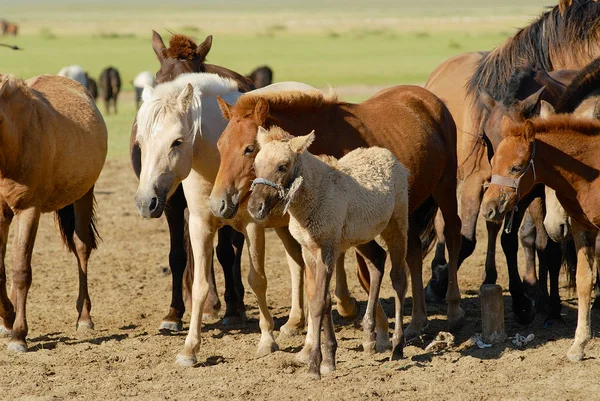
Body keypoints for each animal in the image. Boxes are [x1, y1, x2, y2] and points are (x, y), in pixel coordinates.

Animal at [0, 73, 106, 352]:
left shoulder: (28, 210)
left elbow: (21, 270)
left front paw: (18, 335)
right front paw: (8, 319)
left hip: (83, 194)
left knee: (81, 248)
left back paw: (84, 317)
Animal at [211, 84, 464, 344]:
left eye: (249, 149)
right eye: (220, 145)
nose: (218, 204)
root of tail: (428, 98)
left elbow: (362, 270)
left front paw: (370, 324)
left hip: (444, 187)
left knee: (453, 235)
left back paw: (454, 311)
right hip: (407, 210)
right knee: (412, 252)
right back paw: (417, 322)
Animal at [246, 126, 410, 376]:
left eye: (282, 166)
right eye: (255, 166)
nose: (255, 207)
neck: (313, 197)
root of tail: (390, 157)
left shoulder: (327, 249)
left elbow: (318, 303)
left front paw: (316, 363)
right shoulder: (309, 251)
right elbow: (321, 300)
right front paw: (327, 359)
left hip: (397, 225)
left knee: (399, 277)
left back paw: (398, 346)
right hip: (361, 235)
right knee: (377, 260)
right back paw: (368, 336)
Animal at [480, 114, 600, 360]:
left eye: (516, 167)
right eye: (493, 162)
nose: (488, 209)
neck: (592, 173)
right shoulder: (583, 228)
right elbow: (584, 280)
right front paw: (579, 345)